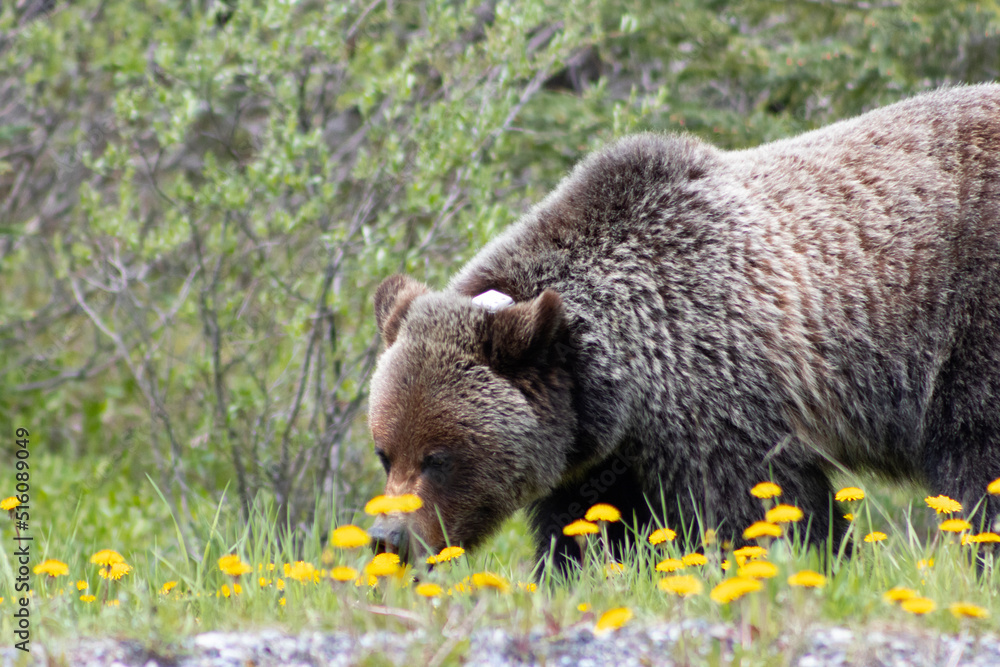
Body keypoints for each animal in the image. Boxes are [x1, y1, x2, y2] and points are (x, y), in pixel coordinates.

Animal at [366, 84, 1000, 572]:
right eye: (385, 452)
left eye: (439, 456)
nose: (388, 539)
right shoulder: (601, 452)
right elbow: (586, 529)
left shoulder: (720, 390)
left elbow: (759, 506)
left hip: (967, 322)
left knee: (976, 455)